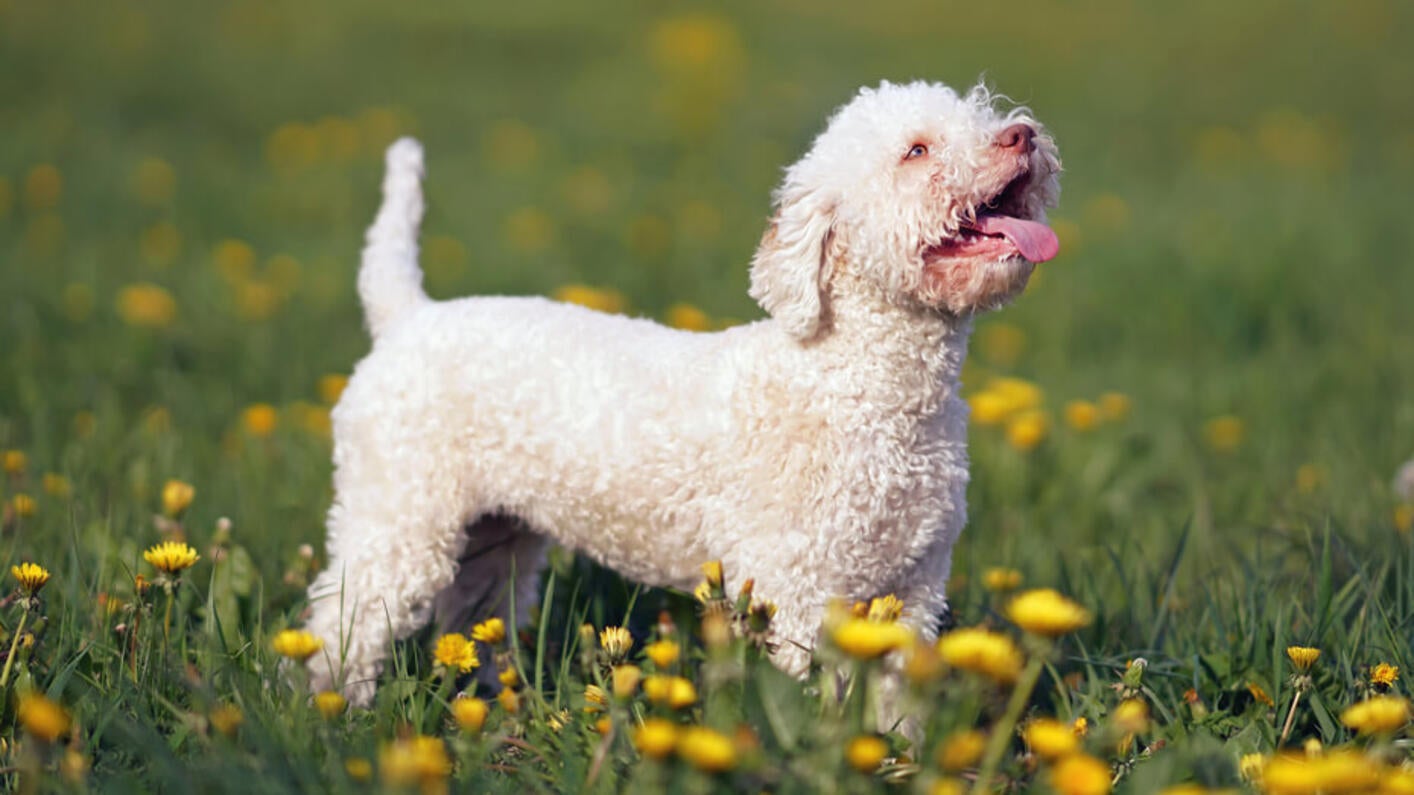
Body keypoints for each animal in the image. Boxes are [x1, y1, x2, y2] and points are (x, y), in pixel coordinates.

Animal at [309, 78, 1063, 698]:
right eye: (916, 150)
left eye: (982, 113)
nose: (1022, 136)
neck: (858, 386)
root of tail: (407, 313)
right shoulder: (796, 585)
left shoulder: (914, 586)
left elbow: (893, 708)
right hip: (396, 514)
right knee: (339, 622)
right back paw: (328, 709)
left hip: (496, 536)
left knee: (473, 615)